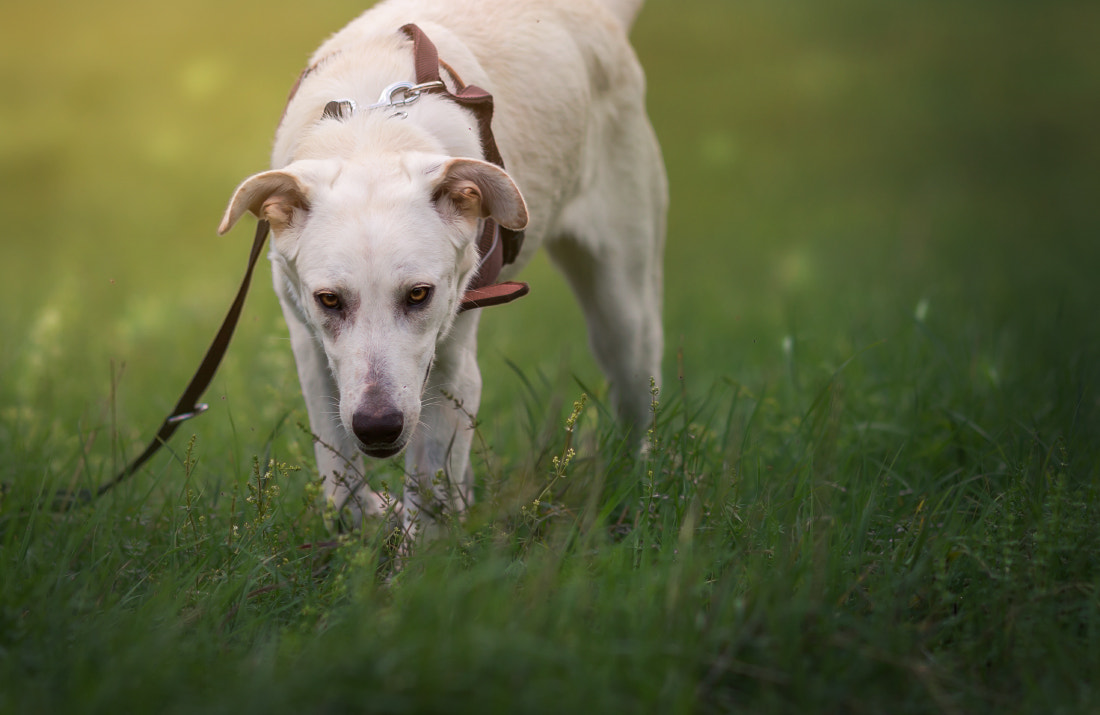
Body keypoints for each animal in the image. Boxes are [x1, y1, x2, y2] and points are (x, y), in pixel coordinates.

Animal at [215, 0, 660, 534]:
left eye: (418, 294)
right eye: (329, 299)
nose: (378, 426)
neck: (372, 135)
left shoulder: (451, 368)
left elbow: (429, 494)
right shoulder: (312, 351)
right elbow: (341, 477)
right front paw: (361, 532)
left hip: (623, 308)